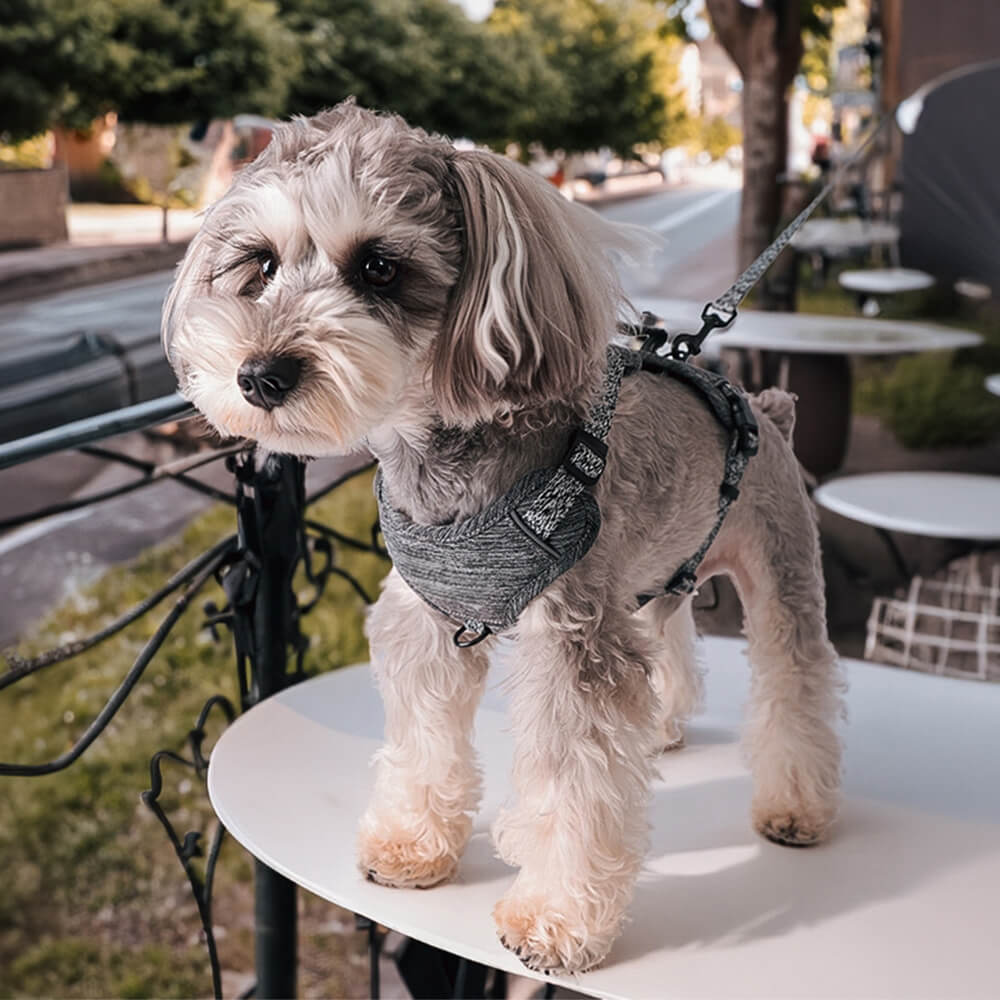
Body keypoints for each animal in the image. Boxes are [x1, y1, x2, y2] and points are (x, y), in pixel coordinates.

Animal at [164, 101, 844, 976]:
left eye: (379, 267)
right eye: (259, 263)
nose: (260, 376)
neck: (446, 466)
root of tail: (765, 408)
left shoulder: (576, 645)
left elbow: (574, 787)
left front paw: (556, 921)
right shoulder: (426, 624)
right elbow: (424, 745)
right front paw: (414, 844)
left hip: (782, 573)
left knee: (797, 684)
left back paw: (796, 804)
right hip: (652, 582)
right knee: (670, 645)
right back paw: (664, 727)